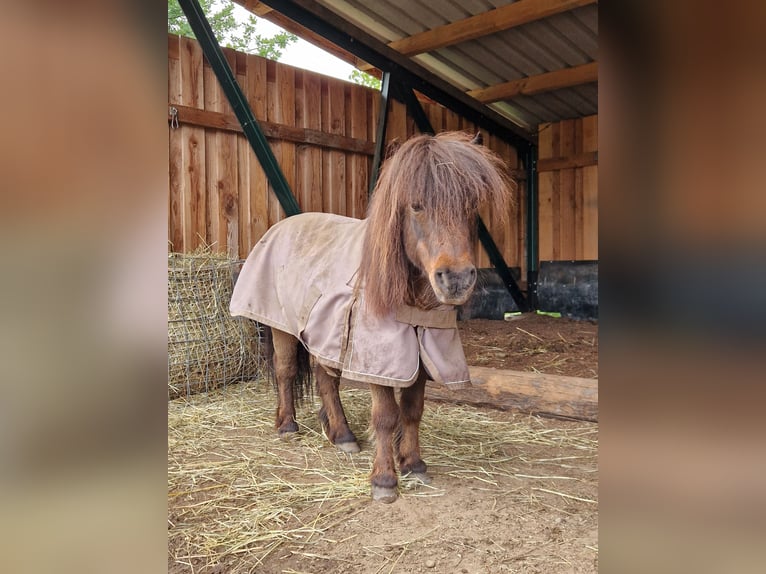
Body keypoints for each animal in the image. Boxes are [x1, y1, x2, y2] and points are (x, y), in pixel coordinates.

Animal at [230, 132, 516, 504]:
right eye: (416, 205)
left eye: (471, 206)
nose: (455, 279)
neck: (410, 300)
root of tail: (278, 228)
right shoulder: (378, 356)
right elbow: (386, 415)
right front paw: (384, 480)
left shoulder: (421, 350)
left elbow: (412, 410)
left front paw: (413, 463)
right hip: (283, 328)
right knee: (285, 371)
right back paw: (288, 426)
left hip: (327, 334)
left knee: (325, 380)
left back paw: (342, 434)